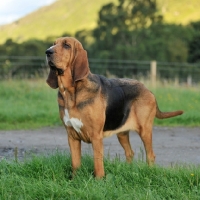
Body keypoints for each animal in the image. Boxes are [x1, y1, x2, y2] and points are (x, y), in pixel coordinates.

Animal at [46, 36, 184, 177]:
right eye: (54, 44)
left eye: (67, 45)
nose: (48, 52)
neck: (70, 93)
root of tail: (148, 90)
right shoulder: (72, 136)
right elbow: (75, 163)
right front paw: (75, 179)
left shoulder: (96, 137)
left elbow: (98, 163)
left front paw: (99, 180)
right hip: (122, 133)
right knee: (130, 152)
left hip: (145, 130)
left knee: (150, 155)